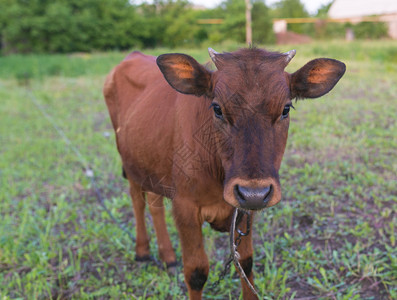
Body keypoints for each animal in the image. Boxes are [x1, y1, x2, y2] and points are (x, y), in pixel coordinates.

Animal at [103, 47, 344, 298]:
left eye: (285, 109)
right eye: (217, 108)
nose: (254, 193)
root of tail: (134, 54)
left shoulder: (245, 212)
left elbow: (245, 264)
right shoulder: (185, 207)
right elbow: (196, 272)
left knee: (154, 201)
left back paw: (168, 256)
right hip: (129, 162)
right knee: (137, 200)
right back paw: (142, 251)